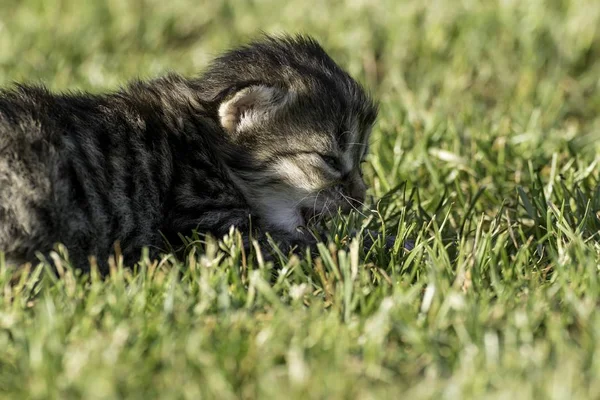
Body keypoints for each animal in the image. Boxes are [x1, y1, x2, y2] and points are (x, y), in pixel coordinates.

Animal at [0, 35, 376, 272]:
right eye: (329, 160)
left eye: (361, 162)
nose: (361, 198)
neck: (203, 141)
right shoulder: (209, 221)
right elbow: (309, 244)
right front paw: (374, 247)